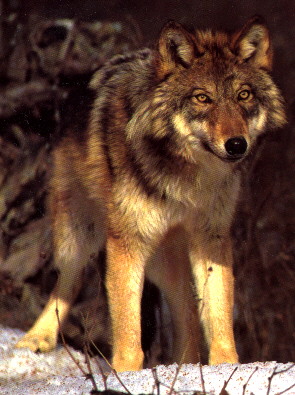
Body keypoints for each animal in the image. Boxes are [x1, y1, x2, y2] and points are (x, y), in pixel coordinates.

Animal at [16, 16, 286, 374]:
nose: (236, 144)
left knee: (186, 310)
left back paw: (185, 368)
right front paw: (126, 375)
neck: (185, 179)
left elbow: (218, 315)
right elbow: (128, 327)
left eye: (244, 95)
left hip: (165, 259)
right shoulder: (127, 242)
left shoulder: (212, 238)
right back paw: (38, 339)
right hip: (78, 233)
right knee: (68, 281)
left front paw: (226, 368)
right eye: (202, 98)